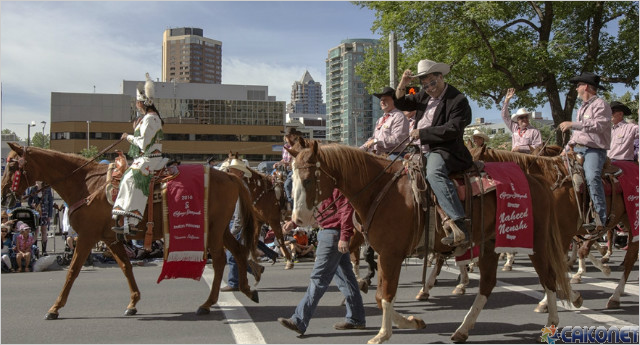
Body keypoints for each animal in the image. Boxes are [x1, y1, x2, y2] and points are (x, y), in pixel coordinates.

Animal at [1, 142, 260, 318]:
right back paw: (247, 289)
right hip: (221, 229)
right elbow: (126, 267)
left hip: (214, 230)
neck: (86, 184)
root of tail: (230, 176)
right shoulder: (110, 238)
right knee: (238, 251)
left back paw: (208, 303)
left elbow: (72, 271)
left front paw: (55, 307)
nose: (4, 196)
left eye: (12, 165)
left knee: (220, 260)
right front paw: (133, 302)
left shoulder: (87, 237)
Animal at [288, 140, 568, 342]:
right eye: (292, 179)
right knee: (487, 284)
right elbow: (380, 296)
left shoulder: (391, 255)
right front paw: (412, 321)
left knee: (548, 278)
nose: (297, 219)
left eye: (309, 179)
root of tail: (536, 181)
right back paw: (463, 329)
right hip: (490, 244)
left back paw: (551, 323)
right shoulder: (386, 255)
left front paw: (383, 334)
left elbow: (385, 295)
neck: (380, 190)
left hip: (534, 242)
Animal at [470, 145, 640, 310]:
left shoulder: (562, 234)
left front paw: (548, 301)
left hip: (632, 221)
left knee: (630, 256)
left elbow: (558, 266)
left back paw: (615, 295)